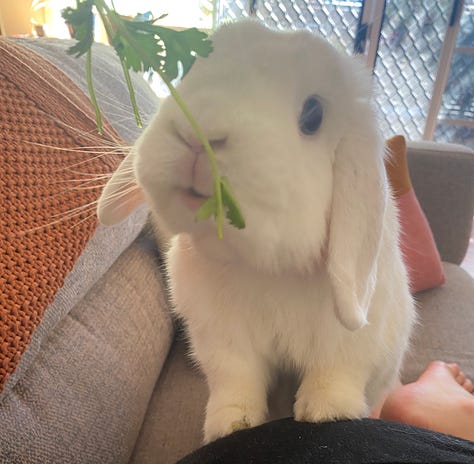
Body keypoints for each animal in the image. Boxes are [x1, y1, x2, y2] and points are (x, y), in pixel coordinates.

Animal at [96, 20, 414, 444]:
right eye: (191, 69)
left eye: (313, 114)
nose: (199, 133)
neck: (266, 269)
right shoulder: (222, 340)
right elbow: (236, 381)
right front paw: (231, 426)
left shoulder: (349, 343)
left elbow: (334, 373)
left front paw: (326, 415)